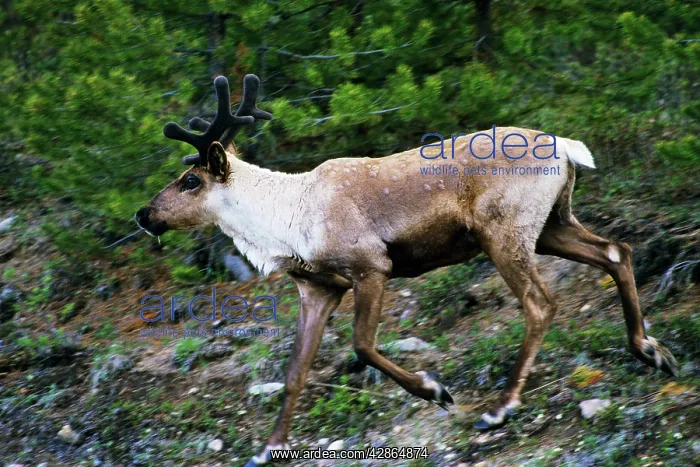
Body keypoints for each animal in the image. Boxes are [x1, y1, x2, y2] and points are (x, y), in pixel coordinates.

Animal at [135, 74, 679, 466]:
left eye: (189, 180)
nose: (143, 215)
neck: (288, 224)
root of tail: (568, 147)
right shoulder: (317, 288)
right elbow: (295, 371)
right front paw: (268, 448)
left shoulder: (371, 266)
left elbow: (362, 345)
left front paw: (435, 389)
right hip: (552, 225)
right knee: (617, 252)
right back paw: (651, 351)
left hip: (504, 232)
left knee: (541, 303)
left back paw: (499, 408)